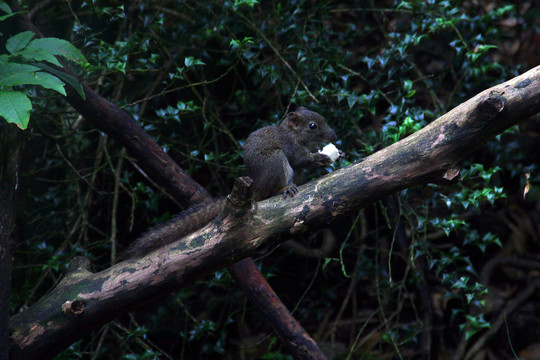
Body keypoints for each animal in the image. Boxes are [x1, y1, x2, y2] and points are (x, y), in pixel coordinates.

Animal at [123, 107, 338, 258]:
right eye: (312, 126)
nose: (333, 136)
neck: (293, 134)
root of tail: (257, 187)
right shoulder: (289, 146)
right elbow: (300, 160)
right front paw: (321, 158)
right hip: (275, 161)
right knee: (272, 190)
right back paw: (284, 188)